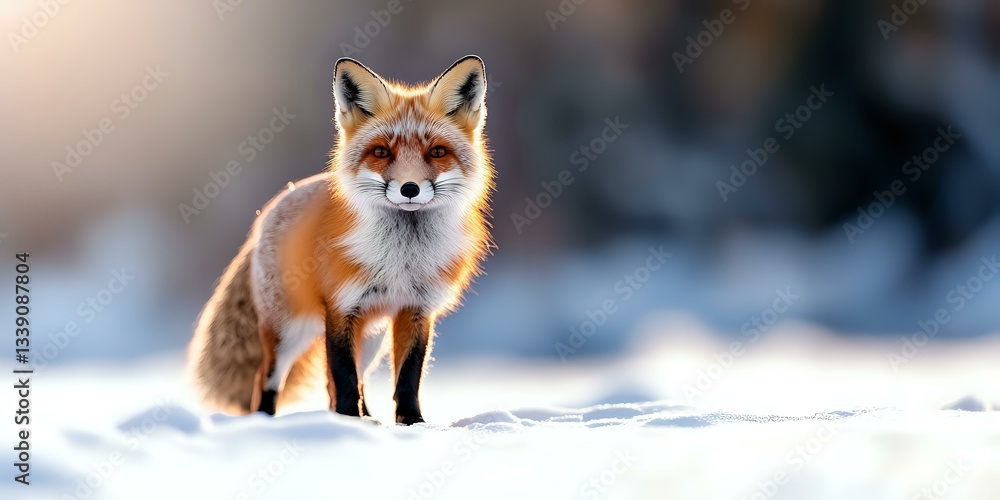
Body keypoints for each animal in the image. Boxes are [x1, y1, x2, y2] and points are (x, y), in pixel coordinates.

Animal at [187, 56, 493, 425]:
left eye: (437, 152)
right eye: (381, 152)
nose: (409, 188)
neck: (402, 258)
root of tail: (270, 209)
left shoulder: (417, 309)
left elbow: (407, 377)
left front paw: (411, 424)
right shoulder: (341, 306)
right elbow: (343, 376)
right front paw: (350, 424)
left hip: (371, 336)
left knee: (346, 383)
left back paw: (367, 419)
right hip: (291, 330)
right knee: (268, 378)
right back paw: (269, 421)